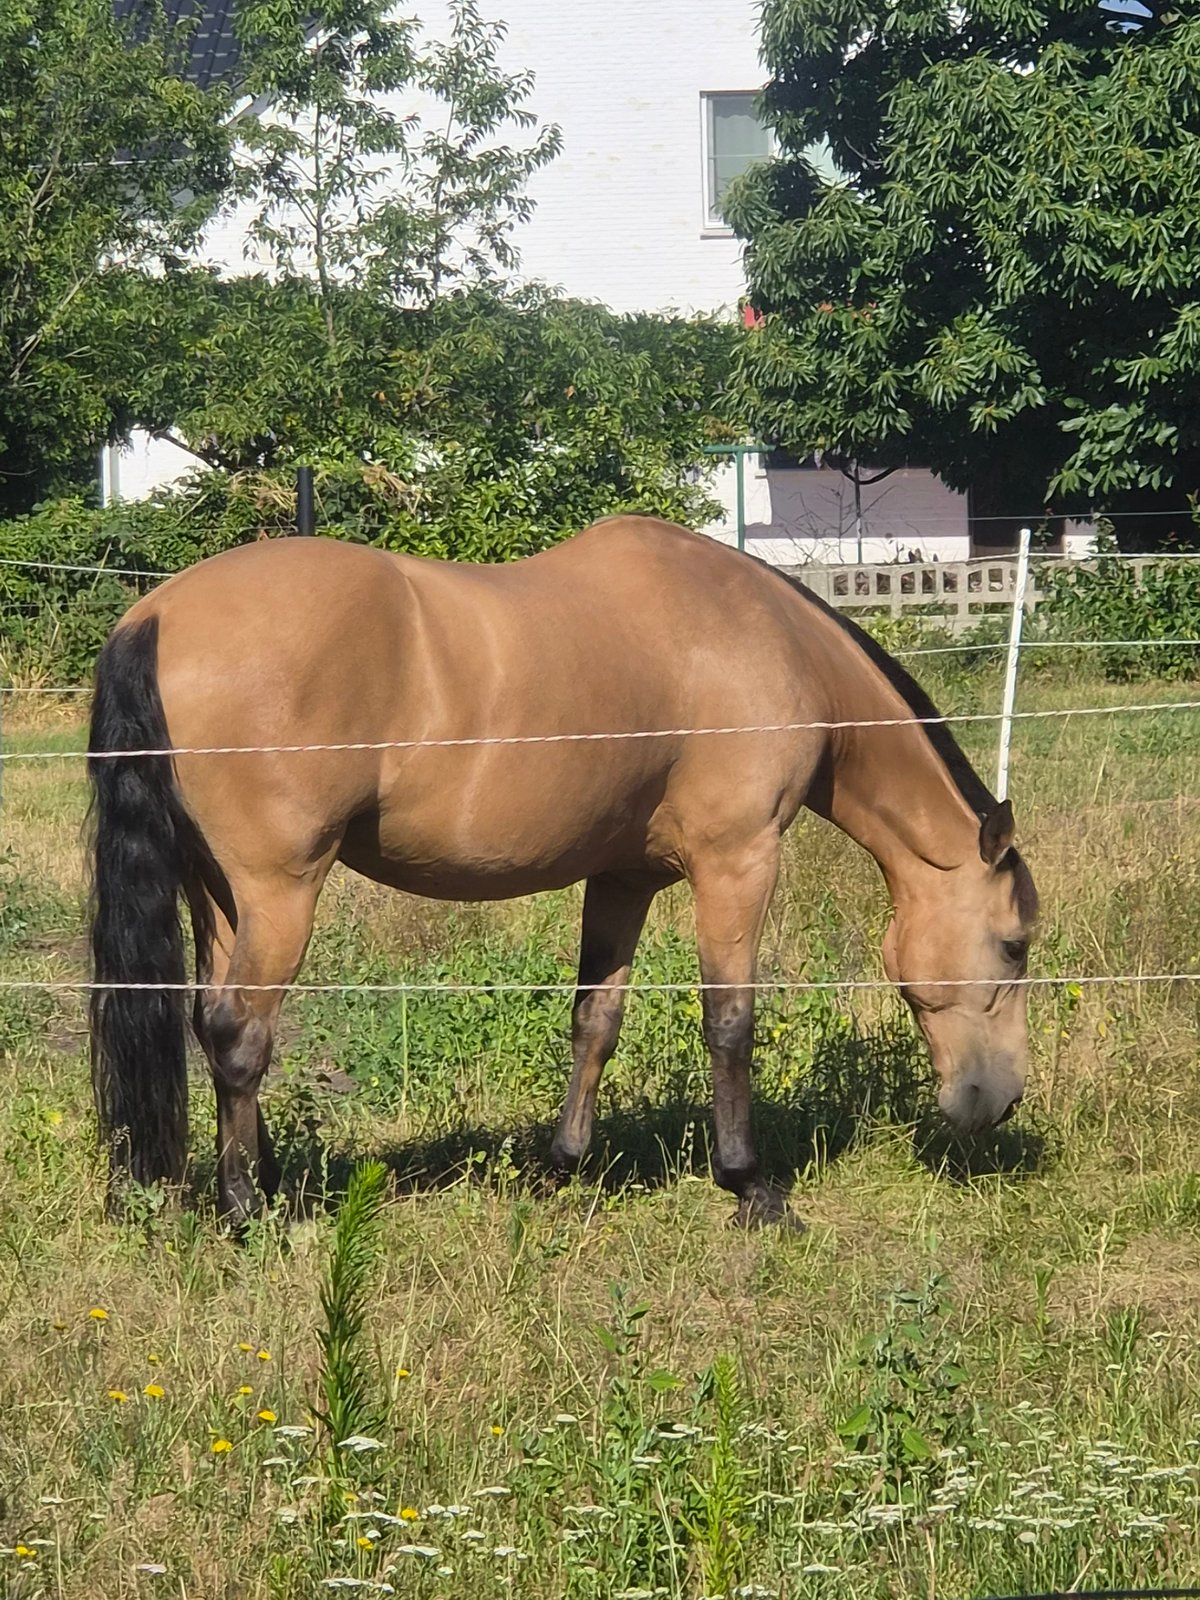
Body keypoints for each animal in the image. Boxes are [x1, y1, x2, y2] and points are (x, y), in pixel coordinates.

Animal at [87, 516, 1038, 1228]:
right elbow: (730, 1022)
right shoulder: (738, 862)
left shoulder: (622, 880)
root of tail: (155, 615)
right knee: (239, 1035)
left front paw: (563, 1167)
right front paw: (750, 1186)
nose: (998, 1103)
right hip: (280, 893)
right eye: (1014, 945)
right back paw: (249, 1208)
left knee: (210, 1024)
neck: (760, 639)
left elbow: (595, 1023)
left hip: (218, 896)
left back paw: (262, 1180)